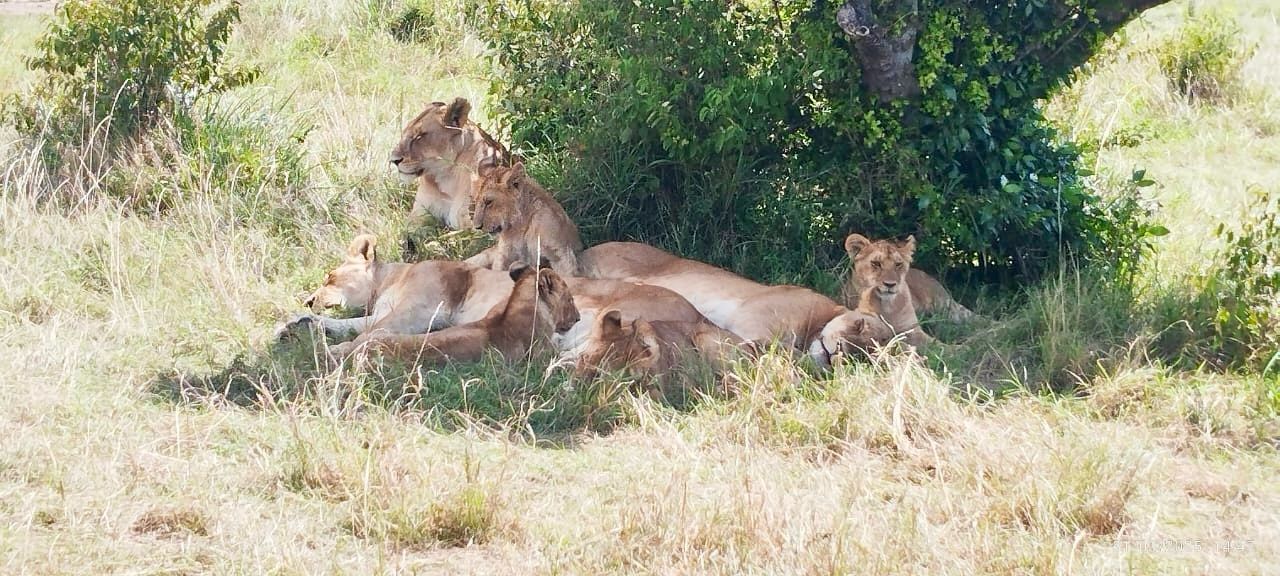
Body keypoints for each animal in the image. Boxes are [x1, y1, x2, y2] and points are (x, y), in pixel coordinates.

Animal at [389, 97, 510, 230]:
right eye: (404, 133)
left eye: (419, 136)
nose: (393, 160)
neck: (446, 176)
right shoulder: (417, 216)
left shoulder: (470, 222)